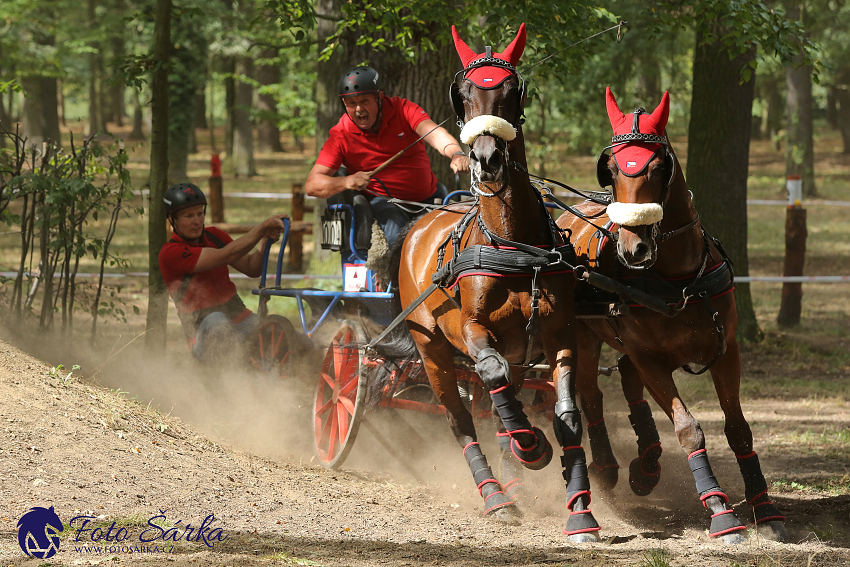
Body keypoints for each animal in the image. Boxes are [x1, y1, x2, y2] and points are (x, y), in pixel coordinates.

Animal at [398, 25, 596, 540]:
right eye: (464, 94)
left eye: (510, 91)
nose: (486, 157)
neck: (511, 243)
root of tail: (421, 224)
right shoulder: (472, 328)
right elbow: (489, 374)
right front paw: (533, 447)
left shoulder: (559, 333)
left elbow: (568, 417)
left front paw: (580, 512)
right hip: (430, 348)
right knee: (461, 418)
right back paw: (496, 494)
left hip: (520, 353)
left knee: (504, 396)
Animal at [552, 86, 784, 544]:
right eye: (612, 169)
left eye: (658, 168)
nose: (633, 249)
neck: (677, 279)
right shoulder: (652, 360)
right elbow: (688, 428)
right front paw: (720, 510)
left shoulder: (726, 351)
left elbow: (738, 428)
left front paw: (763, 505)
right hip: (586, 336)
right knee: (590, 392)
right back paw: (608, 466)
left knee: (625, 378)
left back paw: (646, 462)